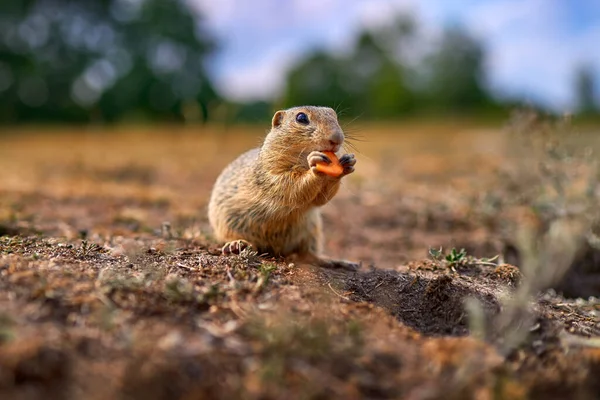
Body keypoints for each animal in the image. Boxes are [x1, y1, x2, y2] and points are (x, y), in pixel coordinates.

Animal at [209, 104, 358, 270]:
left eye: (334, 115)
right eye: (301, 118)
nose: (337, 138)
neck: (301, 159)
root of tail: (276, 250)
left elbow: (319, 199)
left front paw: (346, 163)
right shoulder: (272, 173)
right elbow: (291, 187)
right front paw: (315, 165)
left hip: (312, 231)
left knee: (308, 254)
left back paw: (335, 261)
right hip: (227, 223)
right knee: (237, 238)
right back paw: (237, 245)